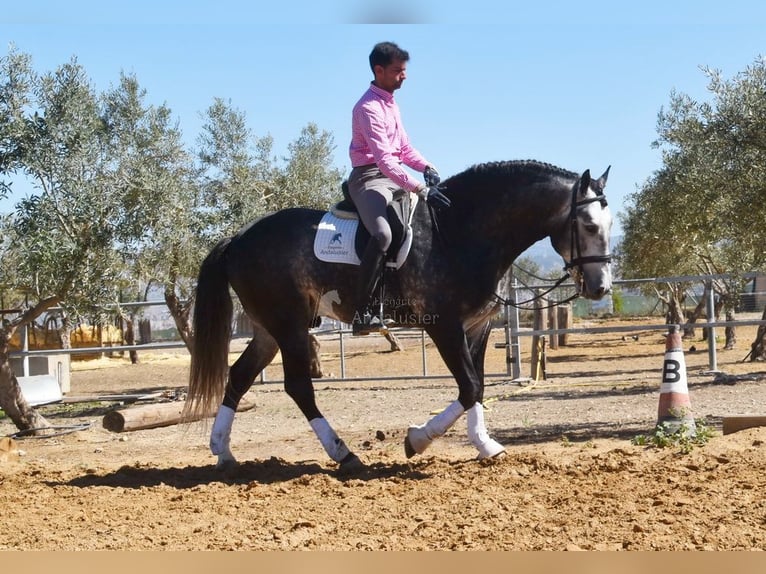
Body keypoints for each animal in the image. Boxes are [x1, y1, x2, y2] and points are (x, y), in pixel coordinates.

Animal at [189, 160, 616, 474]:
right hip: (290, 325)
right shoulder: (444, 327)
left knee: (240, 375)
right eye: (588, 225)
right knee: (298, 387)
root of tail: (238, 239)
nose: (600, 288)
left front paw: (485, 445)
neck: (461, 233)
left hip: (268, 329)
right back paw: (344, 454)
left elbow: (478, 386)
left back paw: (223, 452)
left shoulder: (478, 327)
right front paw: (417, 440)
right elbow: (468, 387)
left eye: (609, 225)